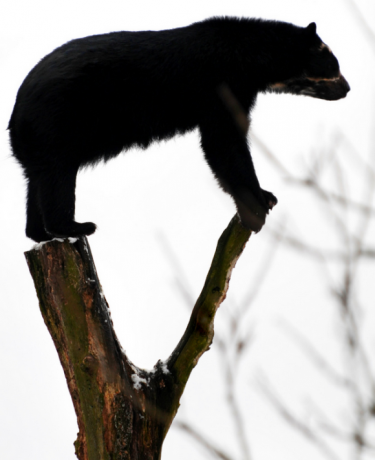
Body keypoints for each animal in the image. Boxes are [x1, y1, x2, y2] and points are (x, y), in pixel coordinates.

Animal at [7, 16, 352, 243]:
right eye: (334, 67)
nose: (348, 89)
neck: (252, 59)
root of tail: (15, 113)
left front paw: (265, 196)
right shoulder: (222, 85)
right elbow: (224, 141)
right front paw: (257, 204)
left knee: (36, 182)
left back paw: (38, 234)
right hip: (58, 125)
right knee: (57, 179)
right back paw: (76, 227)